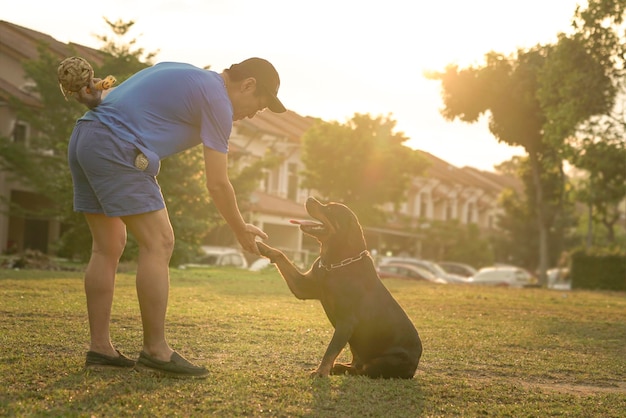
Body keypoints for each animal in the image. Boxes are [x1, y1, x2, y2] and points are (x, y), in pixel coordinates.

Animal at [256, 198, 422, 378]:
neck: (334, 262)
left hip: (389, 359)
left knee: (364, 369)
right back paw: (341, 367)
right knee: (358, 363)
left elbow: (331, 350)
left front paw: (320, 372)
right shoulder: (302, 287)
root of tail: (414, 369)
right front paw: (262, 246)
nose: (309, 199)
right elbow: (281, 255)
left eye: (330, 209)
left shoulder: (346, 321)